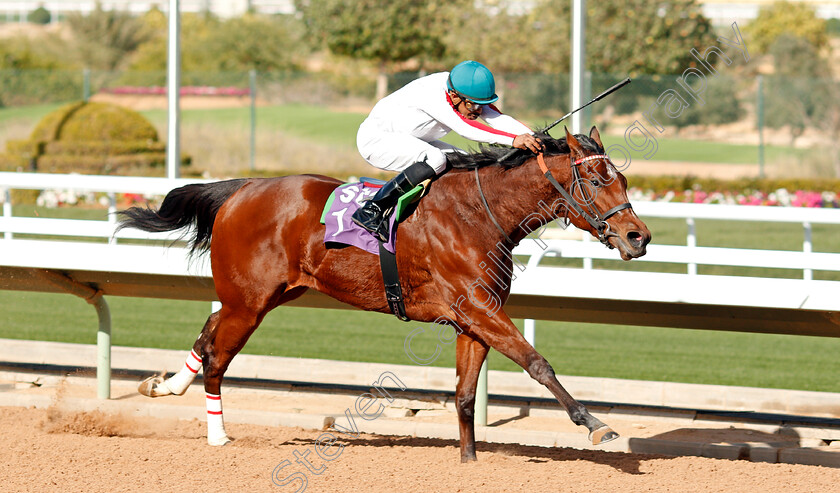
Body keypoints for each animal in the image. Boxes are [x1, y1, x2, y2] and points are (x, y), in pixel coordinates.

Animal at [116, 126, 648, 462]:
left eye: (623, 178)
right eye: (596, 179)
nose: (638, 237)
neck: (479, 213)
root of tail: (242, 189)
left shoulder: (475, 316)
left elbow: (465, 395)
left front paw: (469, 461)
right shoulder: (478, 309)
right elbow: (537, 363)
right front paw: (594, 423)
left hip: (262, 297)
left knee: (207, 335)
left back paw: (163, 385)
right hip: (248, 304)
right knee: (217, 359)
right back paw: (219, 435)